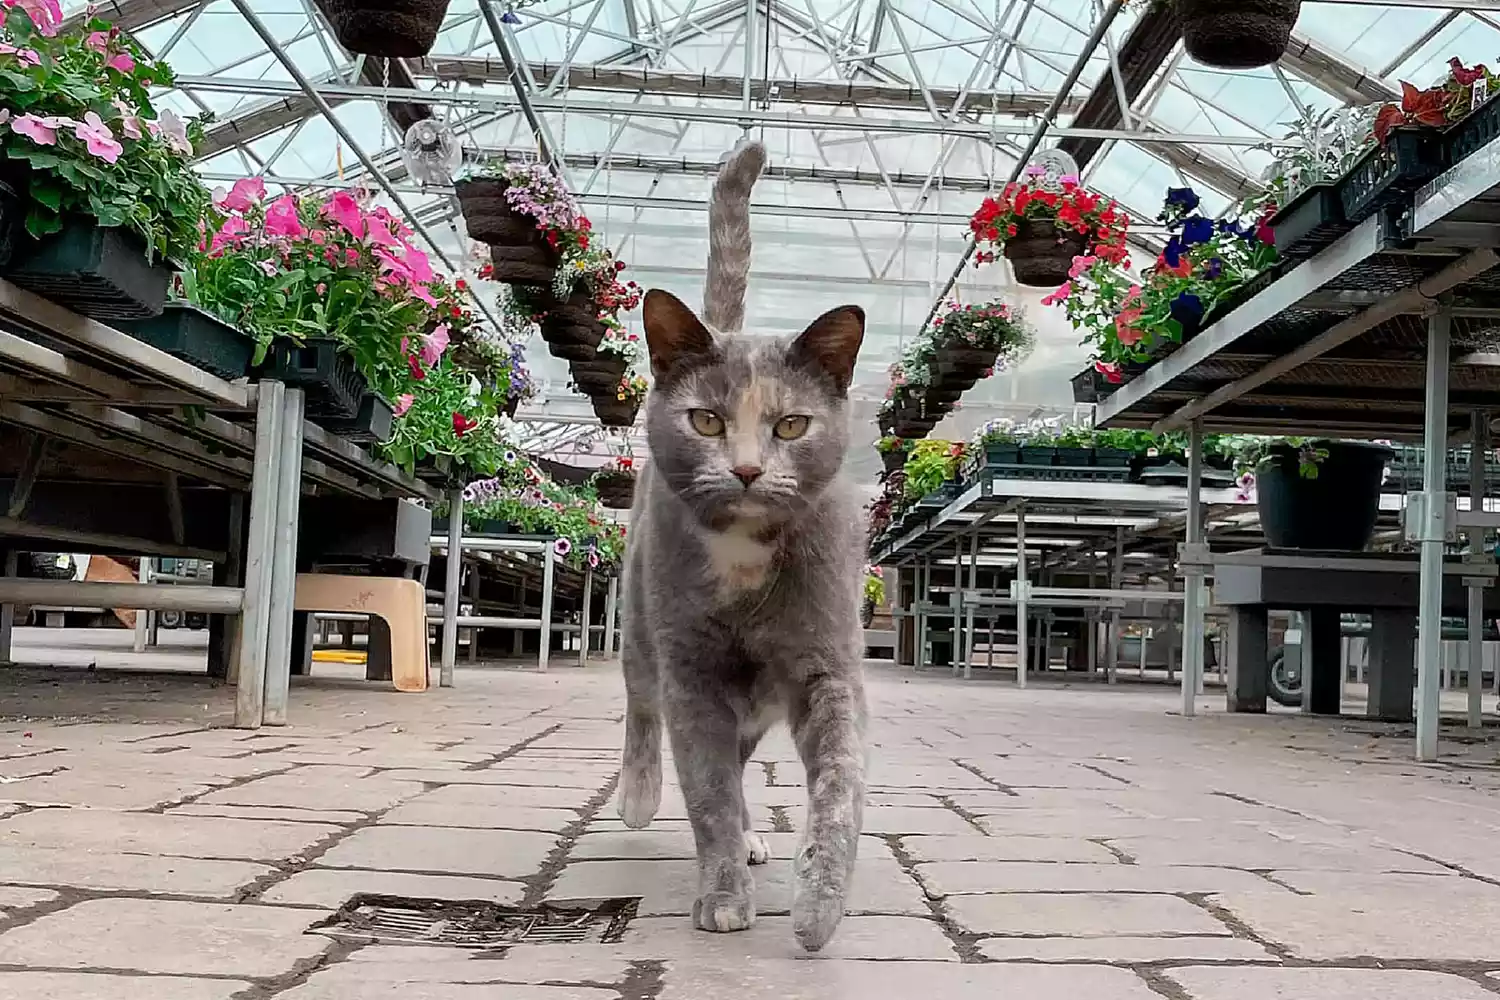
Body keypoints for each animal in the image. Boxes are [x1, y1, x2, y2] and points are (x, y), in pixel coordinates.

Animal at [612, 140, 870, 953]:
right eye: (705, 420)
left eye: (790, 425)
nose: (750, 468)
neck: (746, 555)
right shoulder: (692, 676)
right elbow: (709, 793)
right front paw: (723, 896)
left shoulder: (828, 665)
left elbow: (841, 784)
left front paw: (818, 907)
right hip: (639, 621)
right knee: (641, 708)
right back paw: (637, 795)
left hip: (757, 699)